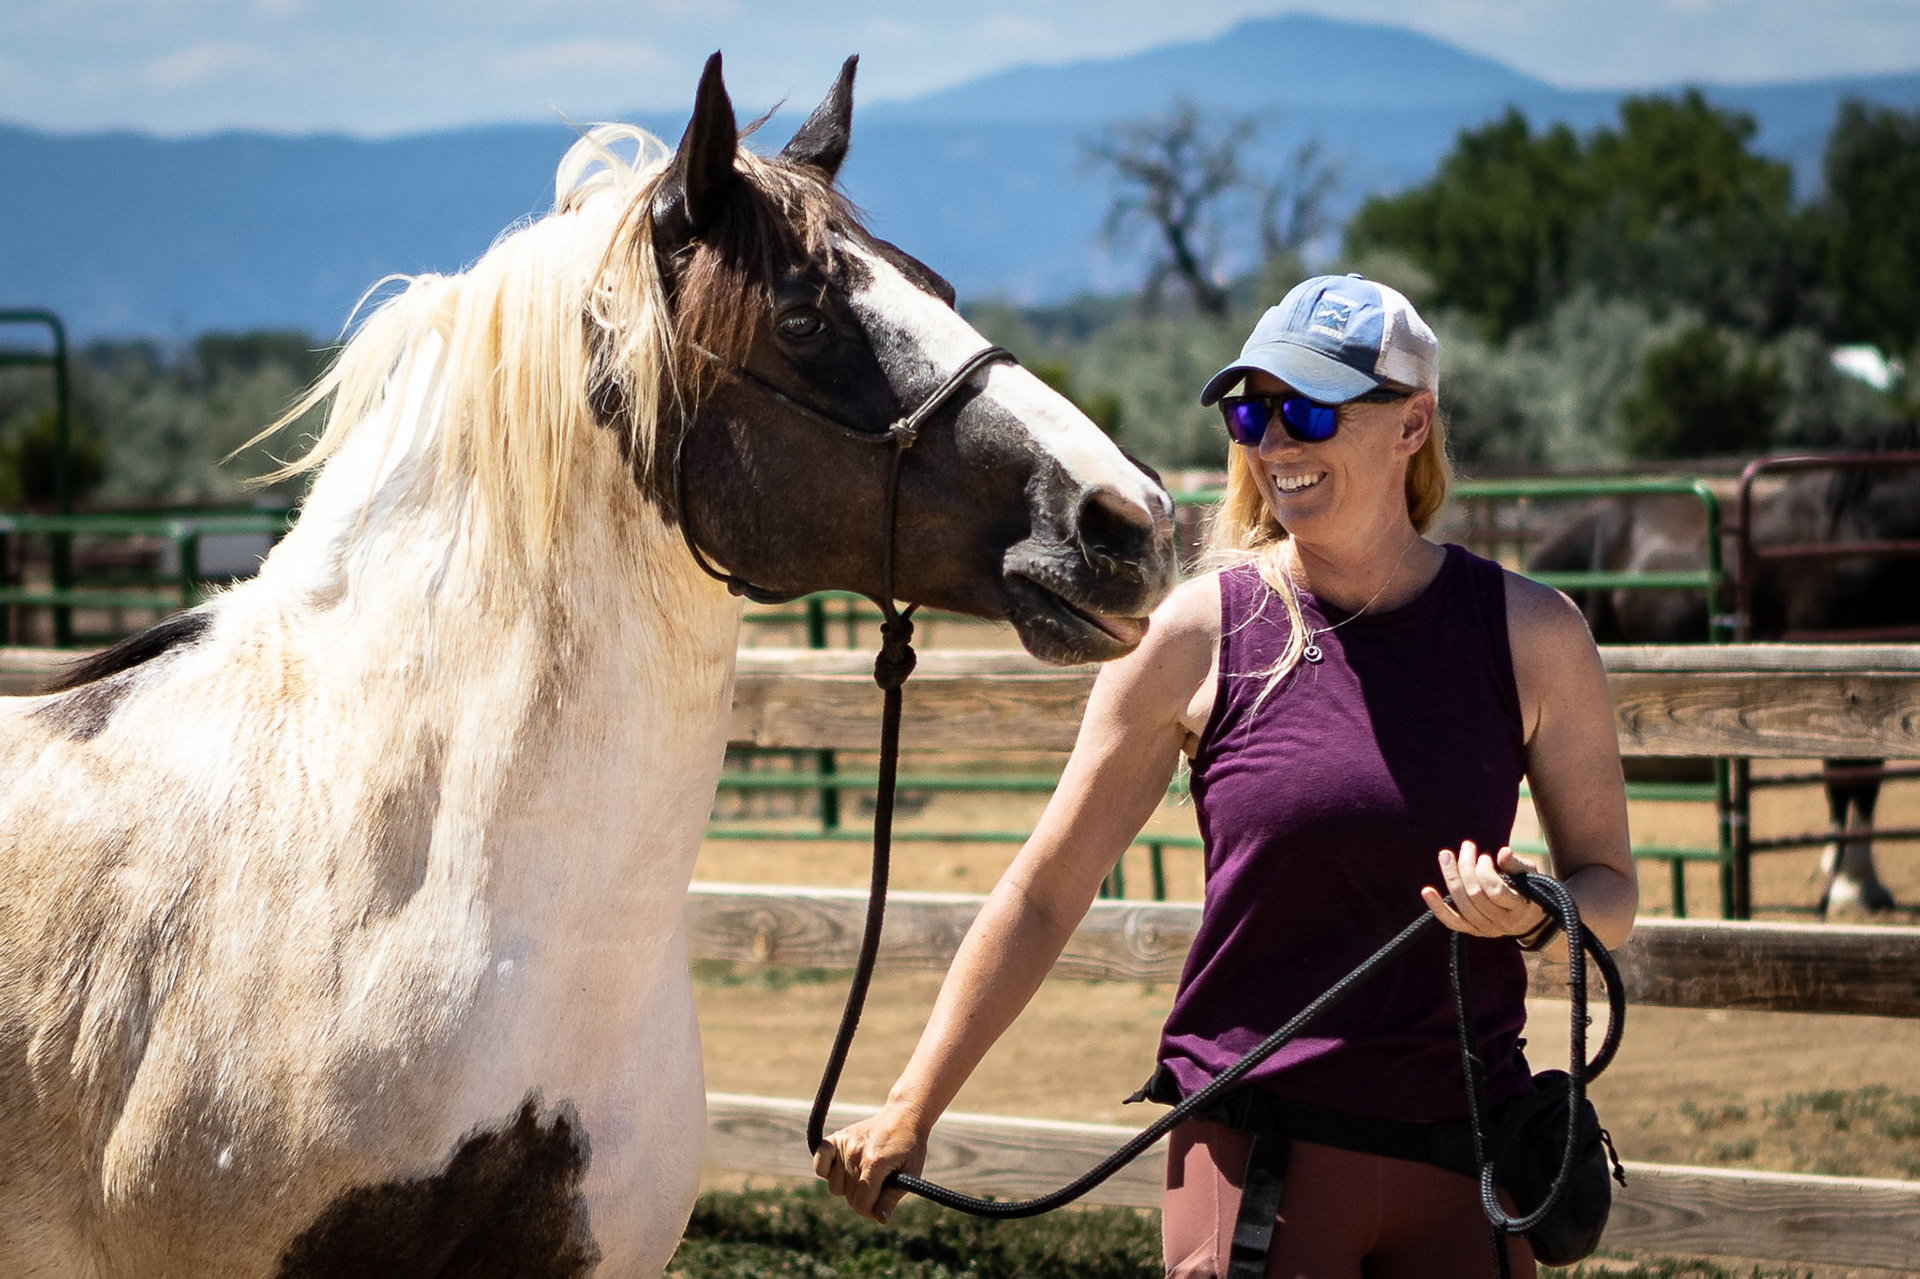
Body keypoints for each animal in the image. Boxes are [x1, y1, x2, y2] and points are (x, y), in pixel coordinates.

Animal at [1525, 424, 1920, 916]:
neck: (1858, 531)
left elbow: (1865, 781)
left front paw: (1857, 878)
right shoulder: (1847, 684)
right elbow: (1850, 779)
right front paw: (1849, 884)